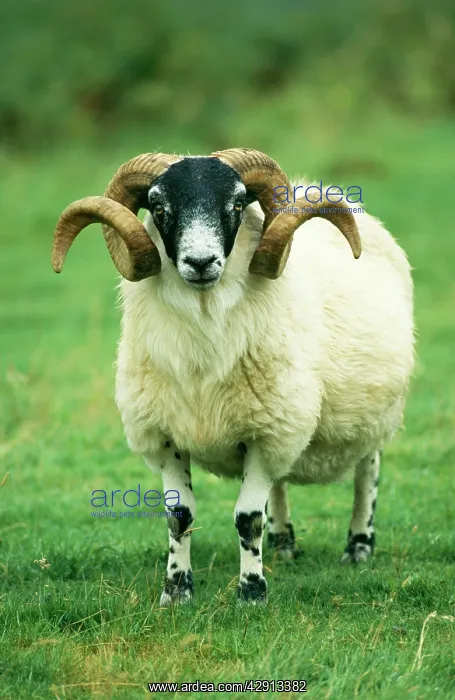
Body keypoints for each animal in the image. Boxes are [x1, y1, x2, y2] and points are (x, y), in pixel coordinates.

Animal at [52, 148, 414, 604]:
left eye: (238, 205)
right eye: (158, 206)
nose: (201, 262)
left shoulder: (267, 434)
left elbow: (246, 518)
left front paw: (252, 592)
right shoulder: (169, 434)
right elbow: (179, 515)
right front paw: (176, 591)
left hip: (372, 414)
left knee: (368, 473)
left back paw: (359, 546)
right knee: (280, 485)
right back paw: (283, 544)